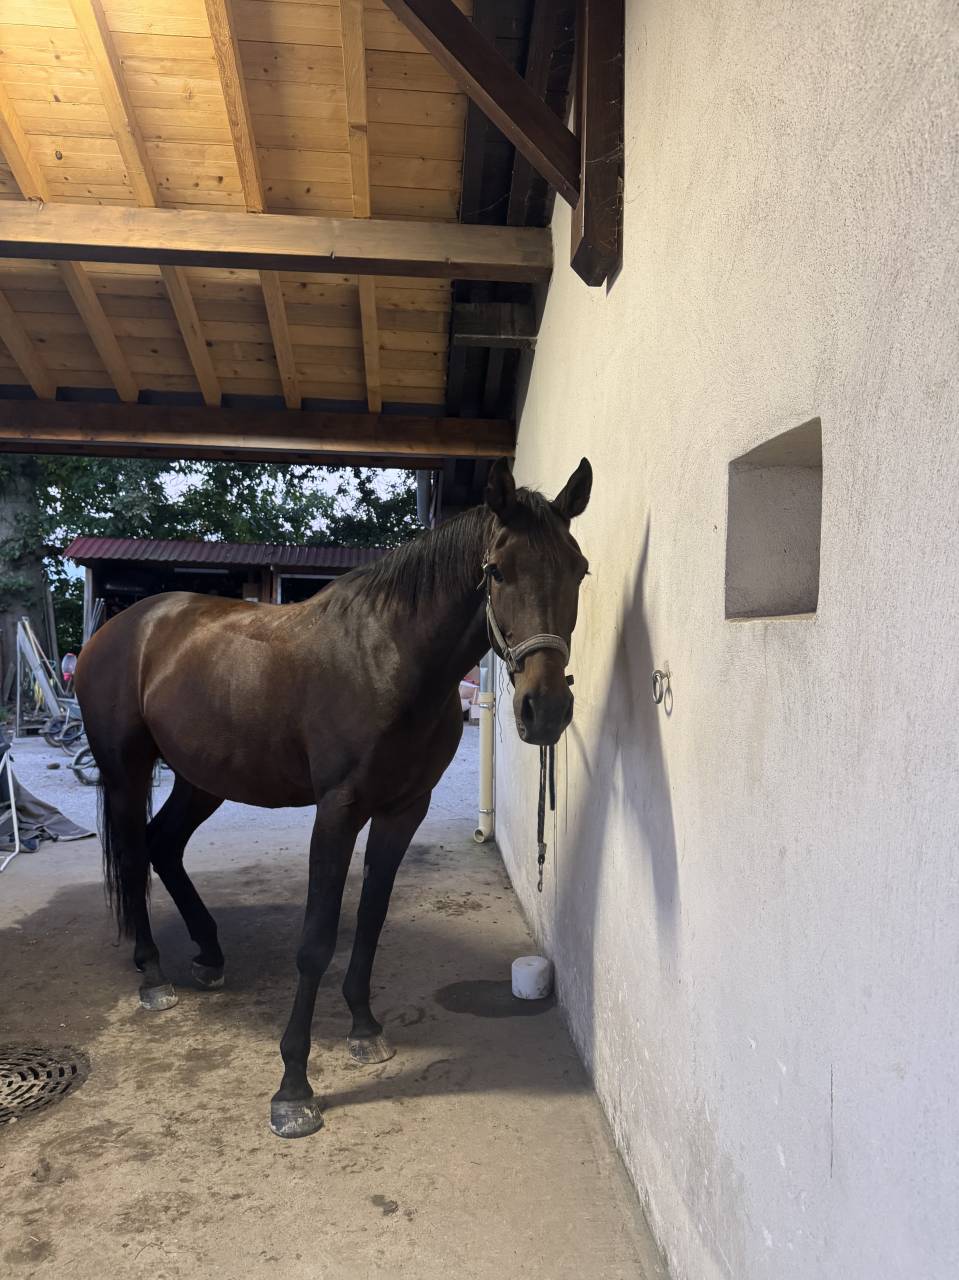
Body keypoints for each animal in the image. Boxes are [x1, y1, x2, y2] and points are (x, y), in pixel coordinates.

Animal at [74, 456, 592, 1138]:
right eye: (497, 570)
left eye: (579, 569)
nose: (545, 710)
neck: (389, 661)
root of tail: (120, 627)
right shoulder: (338, 811)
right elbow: (317, 939)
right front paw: (293, 1088)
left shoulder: (403, 810)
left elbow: (370, 918)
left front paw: (365, 1029)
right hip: (127, 770)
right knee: (135, 855)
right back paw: (153, 974)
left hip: (202, 778)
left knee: (163, 846)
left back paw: (208, 954)